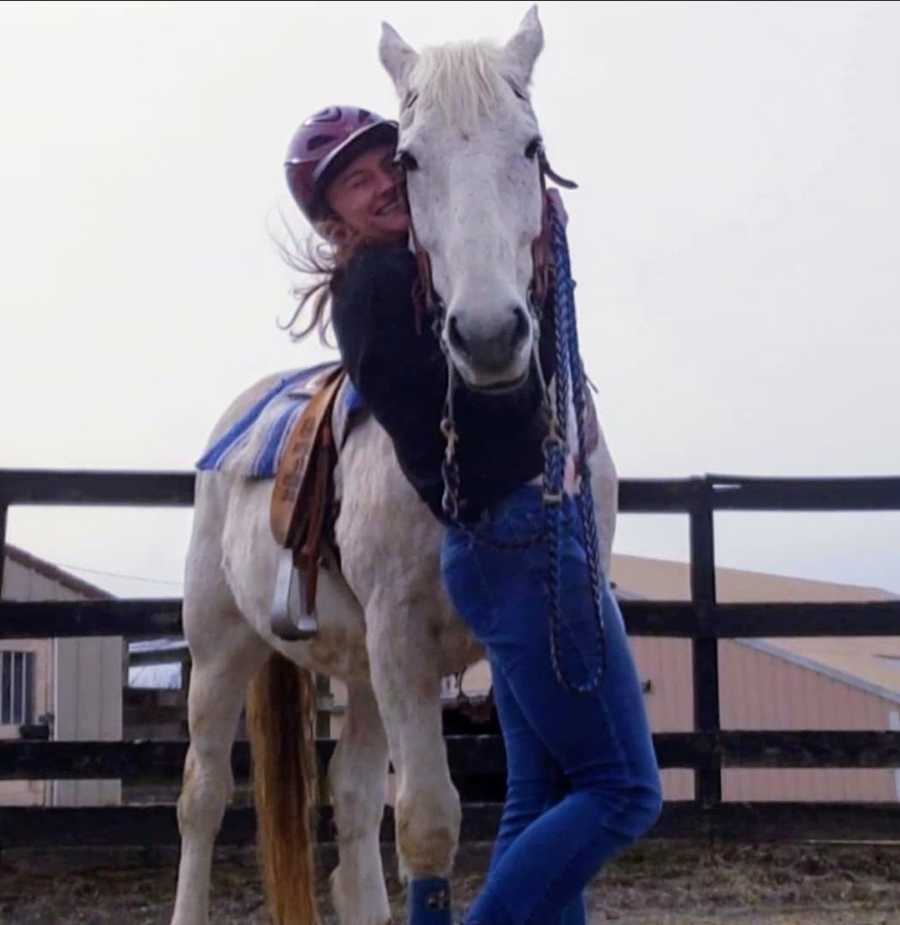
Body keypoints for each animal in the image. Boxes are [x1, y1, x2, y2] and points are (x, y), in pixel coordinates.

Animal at [171, 9, 620, 924]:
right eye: (409, 159)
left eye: (530, 144)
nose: (488, 334)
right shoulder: (402, 636)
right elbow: (426, 823)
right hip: (225, 645)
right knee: (202, 795)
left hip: (361, 672)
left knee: (347, 797)